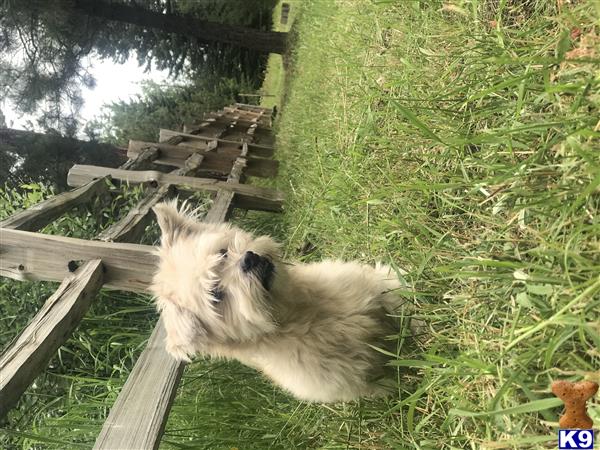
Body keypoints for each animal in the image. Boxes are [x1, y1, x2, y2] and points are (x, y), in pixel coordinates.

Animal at [152, 202, 410, 402]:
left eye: (222, 253)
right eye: (216, 295)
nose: (248, 259)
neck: (301, 312)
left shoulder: (372, 285)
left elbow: (394, 291)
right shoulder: (352, 379)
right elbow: (385, 382)